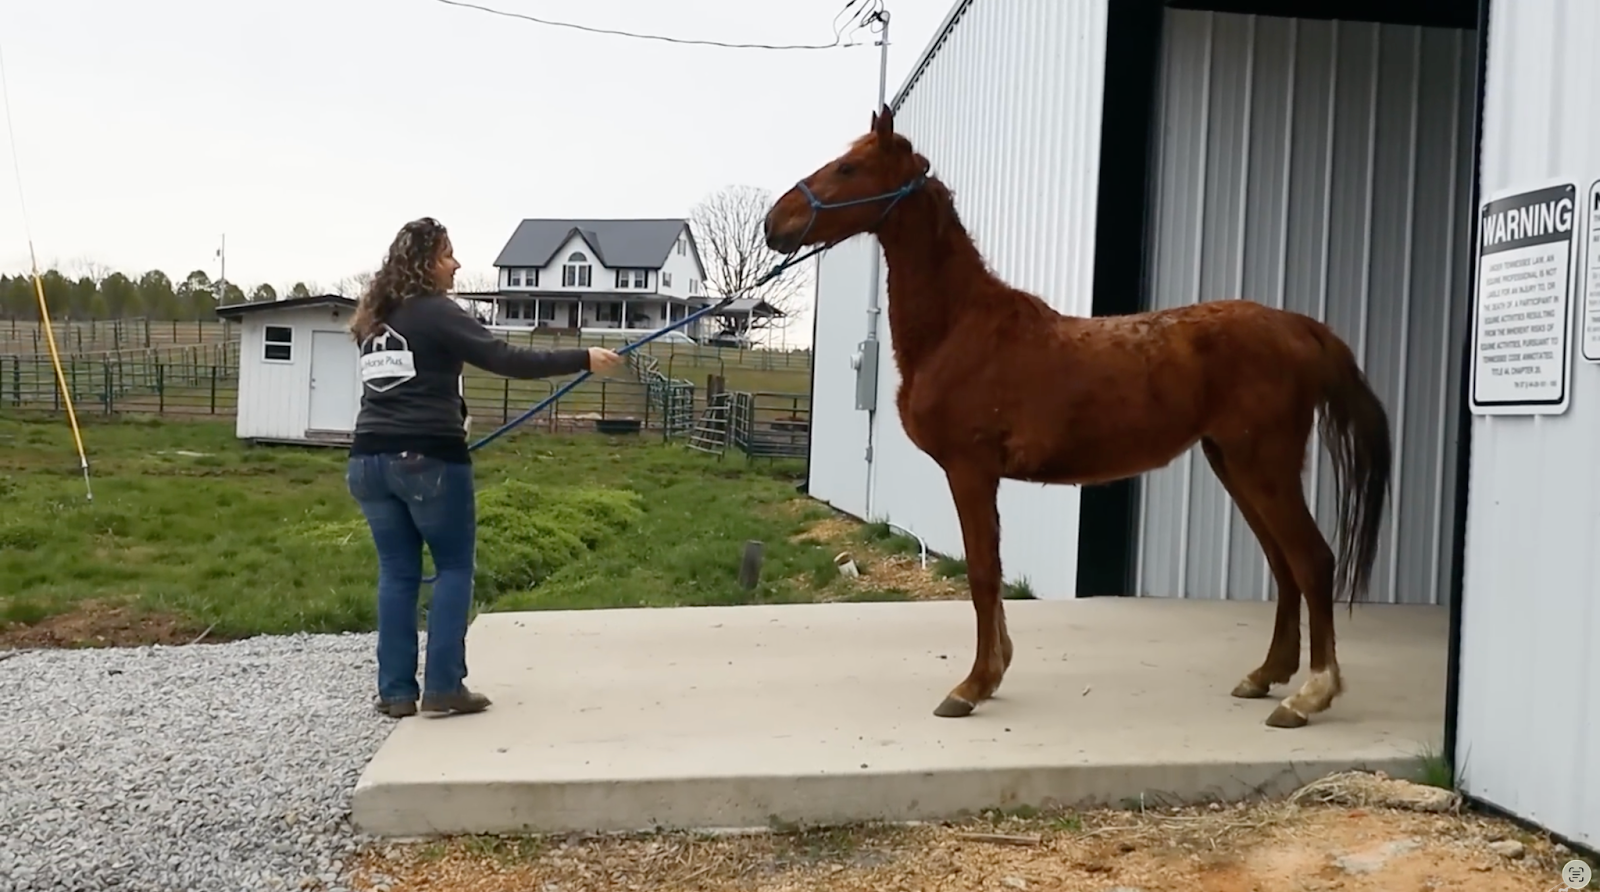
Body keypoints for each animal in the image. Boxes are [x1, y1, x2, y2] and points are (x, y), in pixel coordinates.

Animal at [762, 104, 1392, 730]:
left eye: (848, 168)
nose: (776, 222)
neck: (961, 327)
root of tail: (1297, 326)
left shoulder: (969, 469)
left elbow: (982, 574)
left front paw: (971, 686)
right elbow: (990, 572)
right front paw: (994, 672)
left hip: (1263, 465)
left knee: (1312, 561)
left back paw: (1308, 695)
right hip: (1234, 465)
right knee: (1285, 565)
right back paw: (1264, 676)